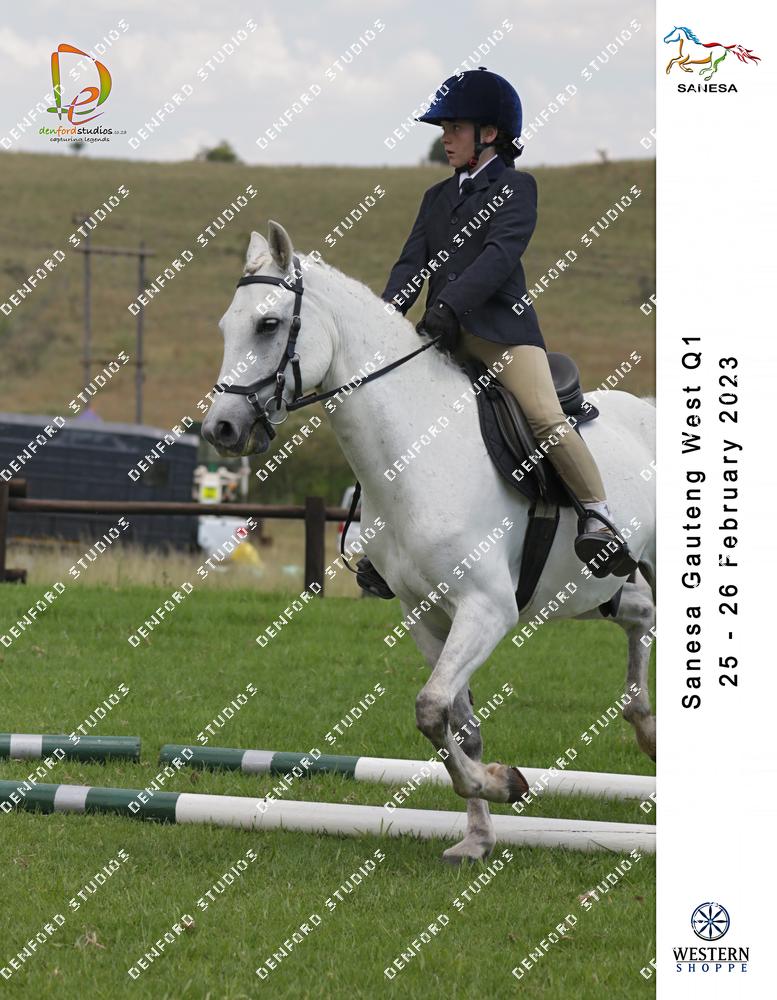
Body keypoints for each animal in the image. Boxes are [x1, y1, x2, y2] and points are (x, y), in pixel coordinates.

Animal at [202, 222, 656, 864]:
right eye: (226, 326)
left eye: (268, 324)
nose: (220, 429)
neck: (415, 451)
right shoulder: (424, 613)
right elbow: (455, 722)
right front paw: (482, 830)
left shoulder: (486, 609)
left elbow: (430, 706)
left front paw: (502, 784)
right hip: (593, 589)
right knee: (641, 616)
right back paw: (646, 726)